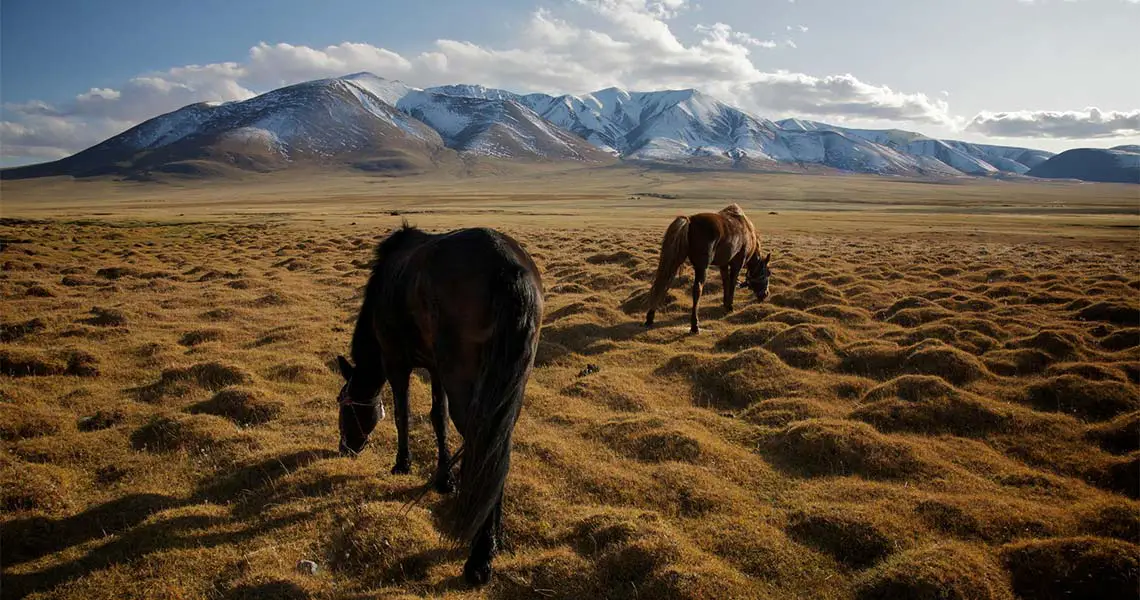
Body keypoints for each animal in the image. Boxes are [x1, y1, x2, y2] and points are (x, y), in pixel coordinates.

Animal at [332, 222, 542, 588]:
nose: (345, 449)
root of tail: (507, 267)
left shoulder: (396, 361)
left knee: (481, 446)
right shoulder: (435, 368)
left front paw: (402, 464)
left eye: (345, 408)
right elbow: (437, 418)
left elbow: (402, 413)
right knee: (497, 450)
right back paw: (494, 537)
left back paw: (479, 558)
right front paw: (445, 479)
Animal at [647, 203, 770, 333]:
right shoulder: (737, 264)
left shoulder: (723, 264)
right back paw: (695, 325)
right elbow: (732, 284)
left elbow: (725, 282)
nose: (766, 294)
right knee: (697, 289)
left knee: (663, 283)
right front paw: (730, 306)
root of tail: (690, 220)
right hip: (702, 267)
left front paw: (725, 303)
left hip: (675, 260)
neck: (748, 231)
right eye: (767, 273)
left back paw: (650, 317)